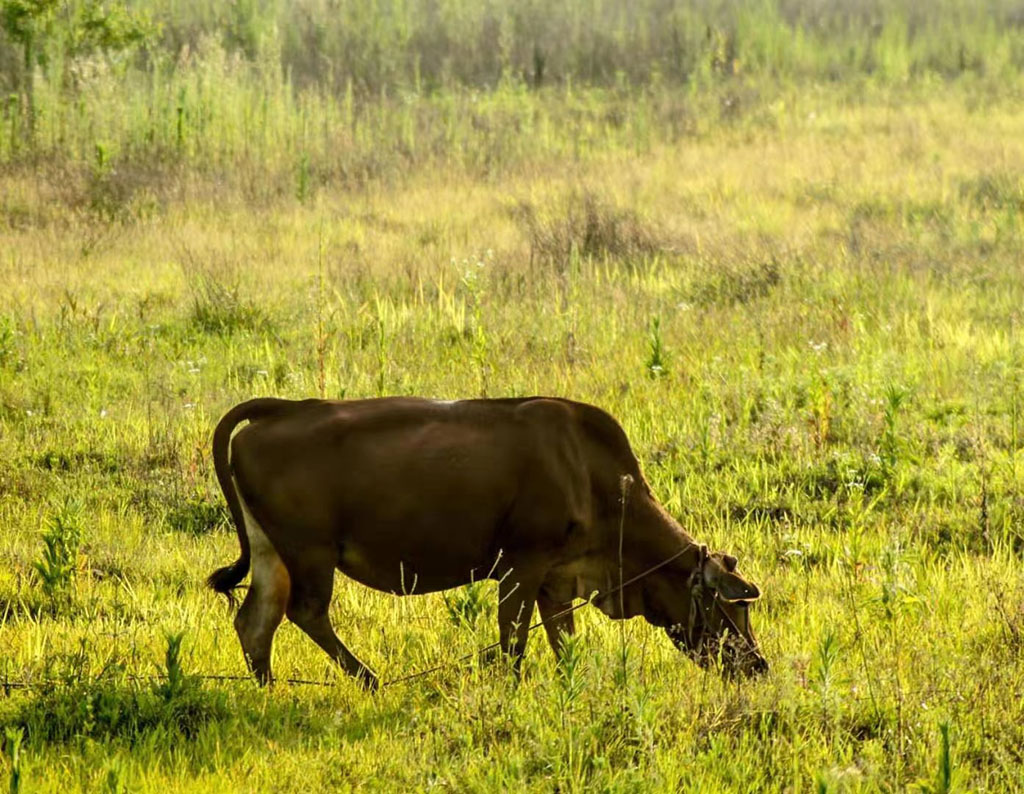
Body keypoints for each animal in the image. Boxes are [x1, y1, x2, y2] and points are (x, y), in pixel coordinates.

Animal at [209, 397, 770, 688]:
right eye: (737, 605)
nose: (759, 666)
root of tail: (281, 410)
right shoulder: (524, 564)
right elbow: (513, 638)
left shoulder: (558, 578)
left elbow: (562, 640)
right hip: (311, 553)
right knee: (305, 612)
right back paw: (368, 678)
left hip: (273, 555)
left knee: (256, 620)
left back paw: (268, 688)